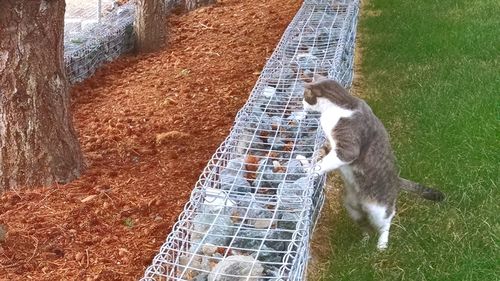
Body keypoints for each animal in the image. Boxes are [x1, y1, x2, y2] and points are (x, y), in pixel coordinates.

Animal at [302, 75, 444, 249]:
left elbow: (325, 163)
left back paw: (381, 245)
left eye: (305, 96)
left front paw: (310, 170)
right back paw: (364, 241)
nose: (302, 104)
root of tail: (396, 180)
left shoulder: (347, 149)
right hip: (352, 207)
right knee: (365, 224)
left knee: (387, 220)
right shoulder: (332, 145)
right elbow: (322, 153)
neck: (338, 106)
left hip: (378, 210)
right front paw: (307, 160)